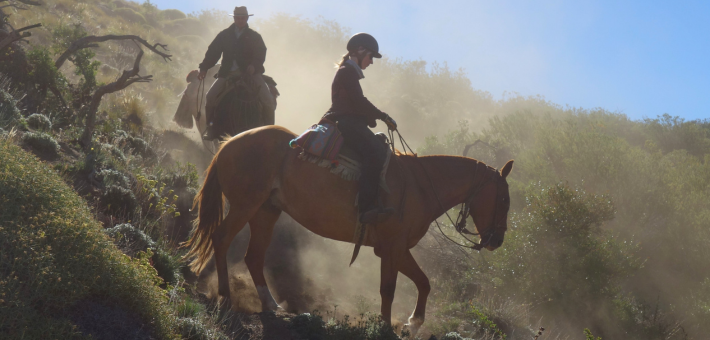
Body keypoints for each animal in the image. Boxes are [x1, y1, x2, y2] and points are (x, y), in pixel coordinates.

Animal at [186, 125, 516, 334]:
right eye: (503, 198)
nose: (497, 240)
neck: (419, 186)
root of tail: (230, 142)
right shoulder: (392, 249)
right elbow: (389, 289)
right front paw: (385, 327)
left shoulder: (394, 249)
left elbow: (423, 283)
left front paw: (413, 323)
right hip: (246, 205)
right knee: (222, 239)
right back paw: (225, 296)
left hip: (266, 211)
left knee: (253, 256)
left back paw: (271, 304)